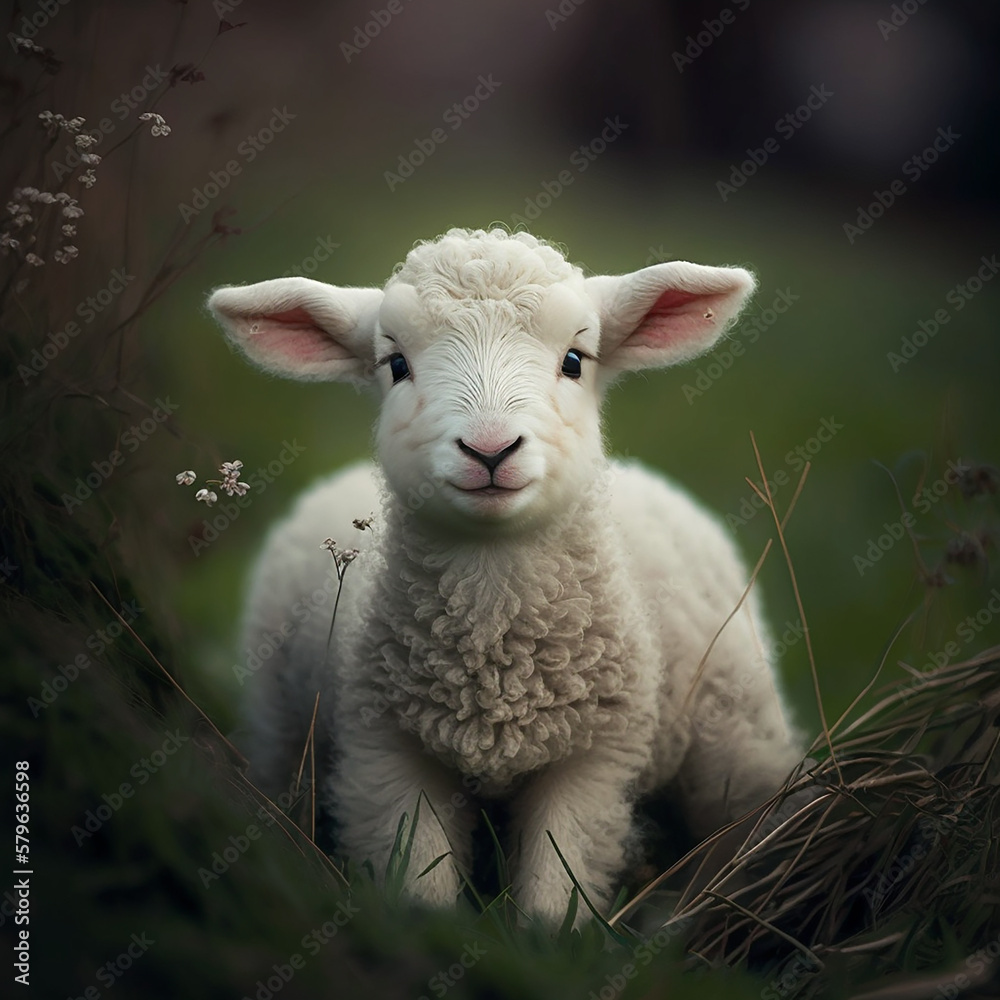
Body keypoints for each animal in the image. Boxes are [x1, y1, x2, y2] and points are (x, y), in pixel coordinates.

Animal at [208, 227, 803, 924]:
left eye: (575, 360)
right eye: (396, 364)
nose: (490, 449)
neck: (496, 665)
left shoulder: (594, 758)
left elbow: (554, 893)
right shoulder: (384, 752)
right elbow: (419, 887)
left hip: (735, 736)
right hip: (281, 731)